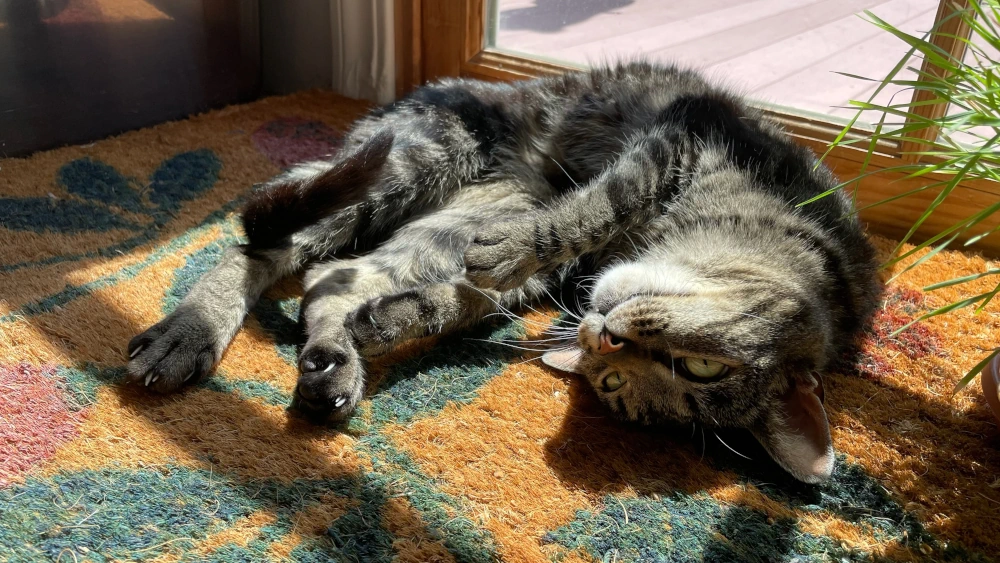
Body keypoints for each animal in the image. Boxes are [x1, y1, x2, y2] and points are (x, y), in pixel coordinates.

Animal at [127, 61, 884, 484]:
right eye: (705, 368)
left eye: (616, 383)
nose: (607, 334)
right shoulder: (680, 137)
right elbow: (597, 206)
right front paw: (519, 244)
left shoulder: (545, 278)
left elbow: (448, 299)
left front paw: (394, 321)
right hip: (405, 160)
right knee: (257, 242)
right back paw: (187, 331)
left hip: (439, 218)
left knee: (332, 279)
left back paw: (335, 361)